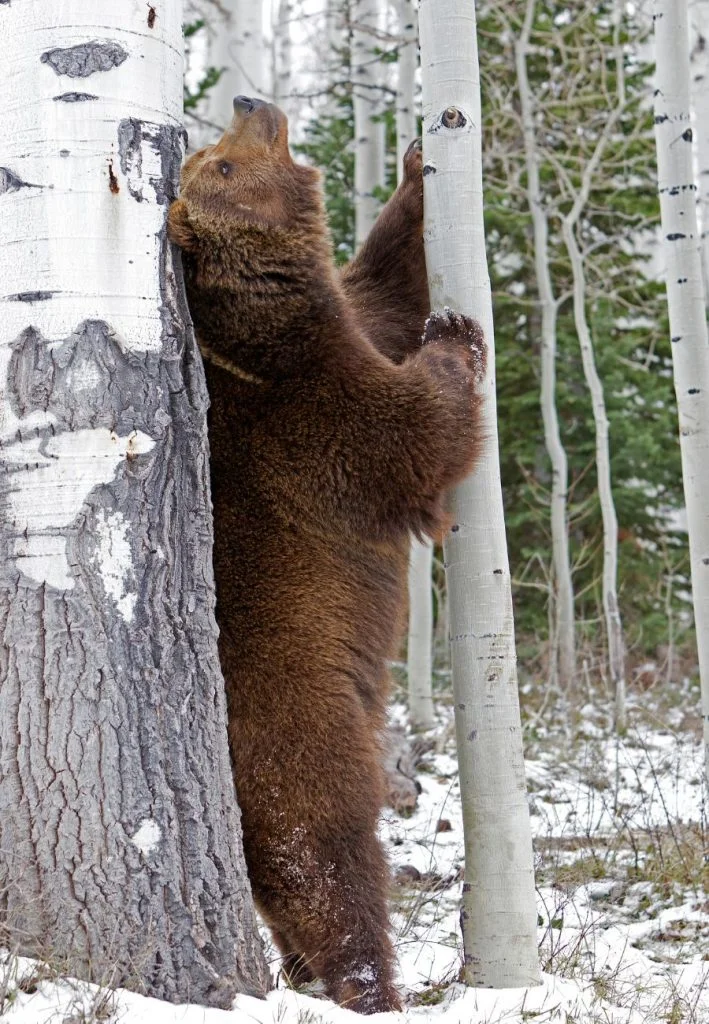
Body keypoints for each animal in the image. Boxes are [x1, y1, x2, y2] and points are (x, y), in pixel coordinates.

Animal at [169, 97, 485, 1015]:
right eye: (221, 165)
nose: (250, 105)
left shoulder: (347, 327)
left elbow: (385, 286)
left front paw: (417, 165)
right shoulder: (309, 423)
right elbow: (415, 437)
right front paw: (456, 336)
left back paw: (308, 976)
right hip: (299, 731)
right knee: (326, 854)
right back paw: (368, 981)